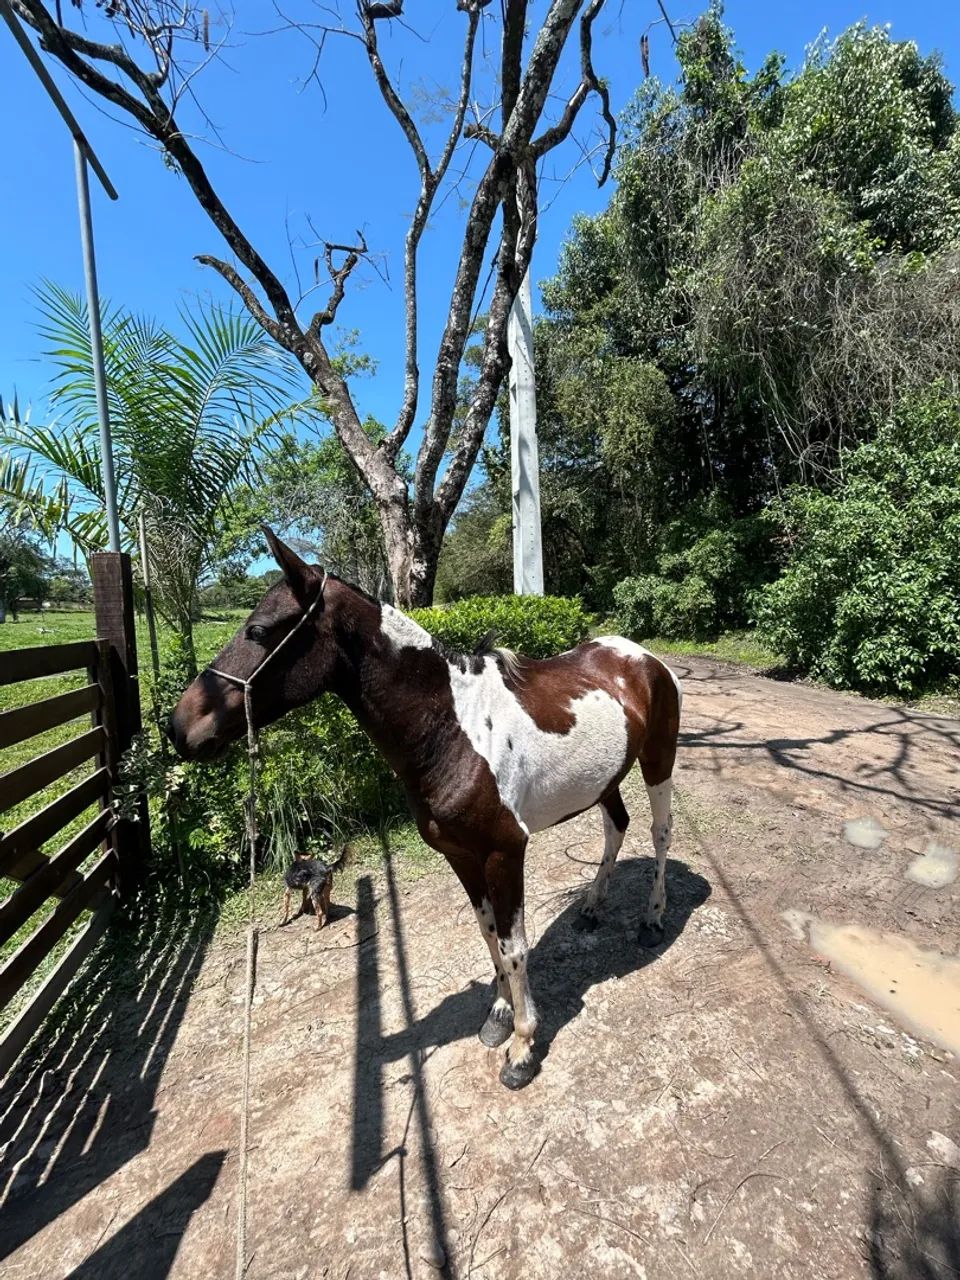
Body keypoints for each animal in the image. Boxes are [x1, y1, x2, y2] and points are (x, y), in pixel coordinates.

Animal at [168, 529, 682, 1090]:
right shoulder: (460, 855)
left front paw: (523, 1048)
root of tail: (641, 657)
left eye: (258, 630)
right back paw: (591, 906)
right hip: (605, 779)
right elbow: (489, 934)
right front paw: (499, 1015)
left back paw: (653, 918)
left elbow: (515, 947)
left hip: (658, 761)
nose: (178, 727)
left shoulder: (505, 852)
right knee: (616, 827)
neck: (453, 729)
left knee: (659, 834)